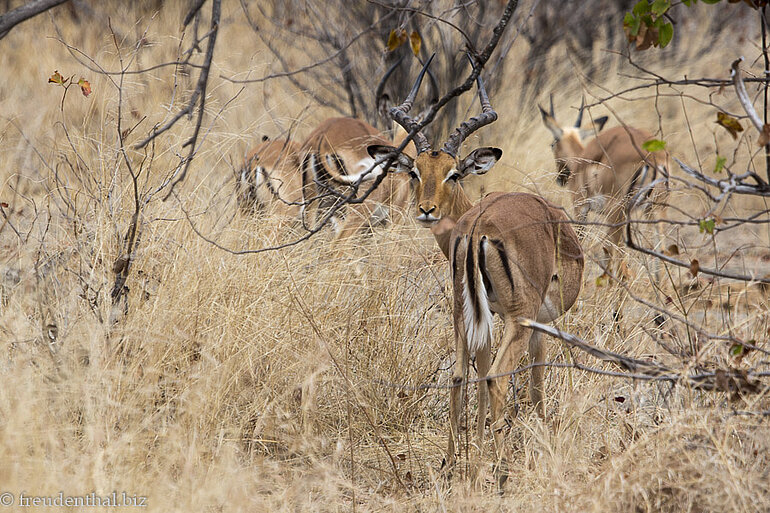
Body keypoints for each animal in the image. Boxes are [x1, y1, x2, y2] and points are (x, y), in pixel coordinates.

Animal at [368, 56, 584, 479]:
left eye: (452, 173)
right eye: (415, 171)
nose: (426, 210)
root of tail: (477, 229)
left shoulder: (485, 316)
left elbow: (477, 373)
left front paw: (476, 452)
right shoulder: (538, 323)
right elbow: (534, 384)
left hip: (461, 313)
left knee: (459, 375)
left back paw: (452, 465)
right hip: (519, 317)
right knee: (498, 378)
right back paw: (500, 470)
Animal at [539, 98, 670, 281]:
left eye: (552, 144)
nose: (561, 178)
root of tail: (653, 156)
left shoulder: (580, 208)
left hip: (618, 213)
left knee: (619, 260)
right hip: (655, 210)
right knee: (660, 259)